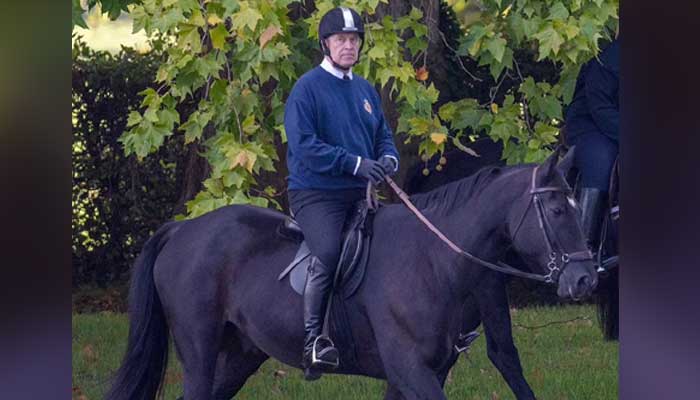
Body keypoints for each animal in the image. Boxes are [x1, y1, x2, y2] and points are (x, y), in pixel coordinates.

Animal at [108, 148, 596, 400]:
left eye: (577, 206)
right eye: (557, 210)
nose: (586, 279)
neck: (434, 259)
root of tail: (181, 229)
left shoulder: (421, 373)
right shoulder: (411, 370)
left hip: (239, 355)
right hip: (200, 351)